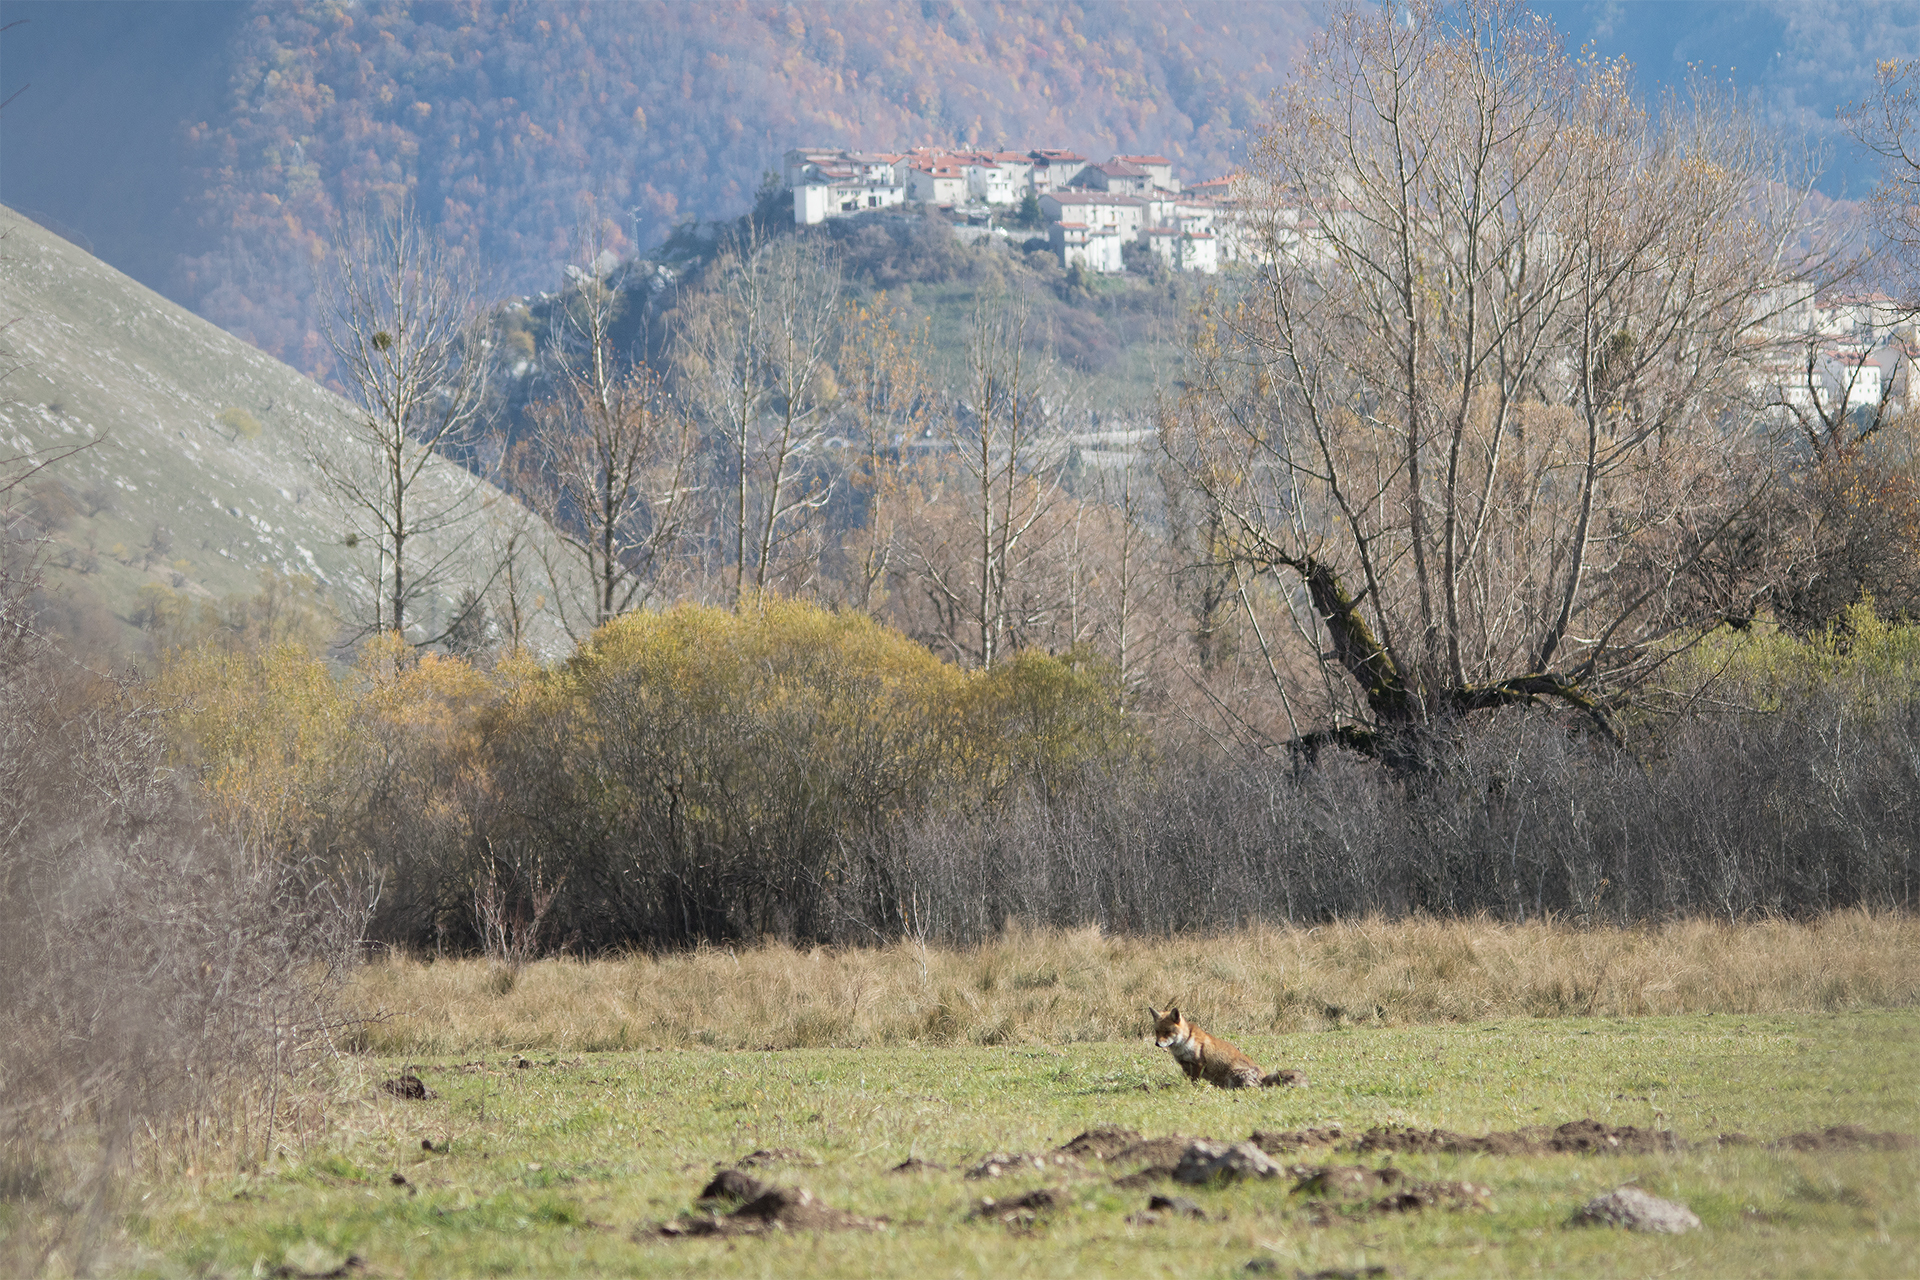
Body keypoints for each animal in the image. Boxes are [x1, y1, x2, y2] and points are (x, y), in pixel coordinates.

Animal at [1148, 1005, 1305, 1090]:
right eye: (1157, 1031)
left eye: (1167, 1032)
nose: (1157, 1044)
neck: (1184, 1043)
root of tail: (1263, 1079)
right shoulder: (1185, 1066)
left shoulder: (1199, 1064)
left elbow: (1195, 1082)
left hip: (1233, 1074)